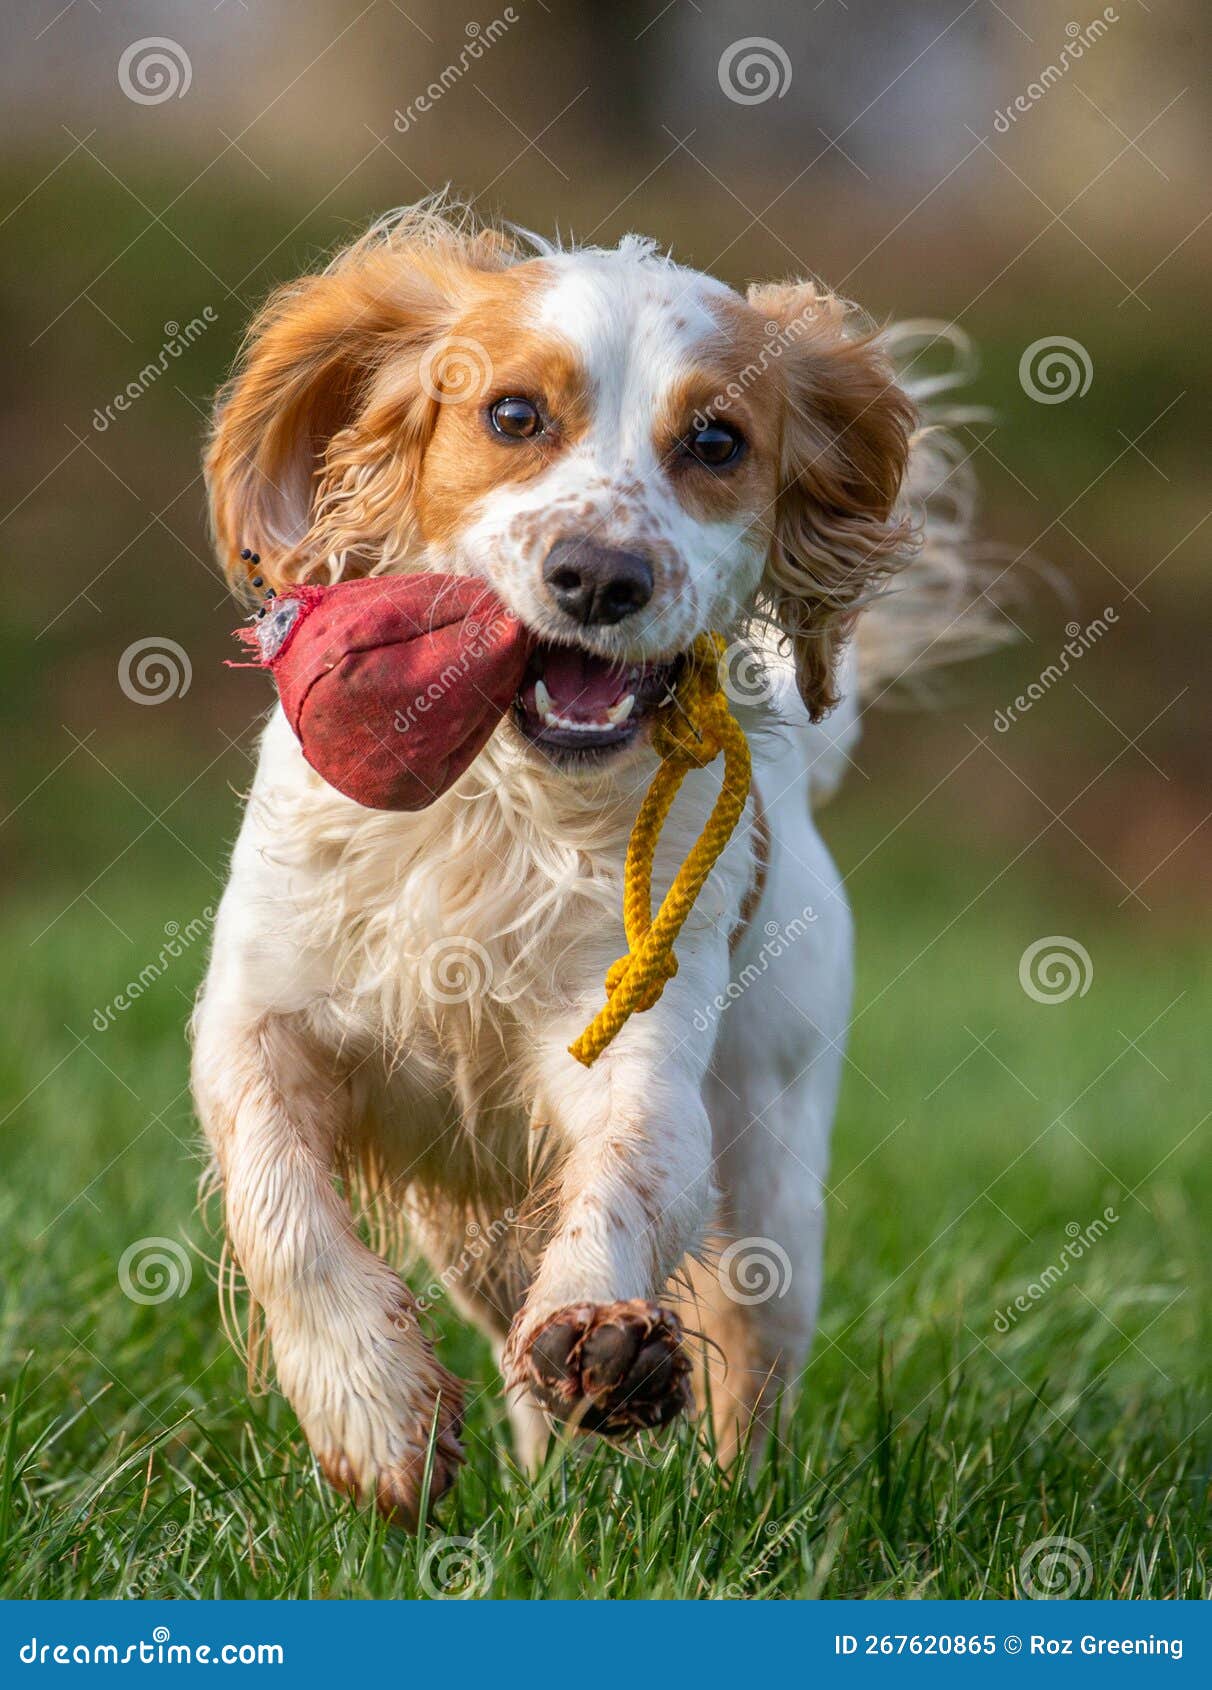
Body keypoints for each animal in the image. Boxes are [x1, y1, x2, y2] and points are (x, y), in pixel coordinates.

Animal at [192, 199, 990, 1524]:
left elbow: (626, 1174)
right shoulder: (262, 1016)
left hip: (772, 1175)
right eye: (514, 415)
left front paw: (597, 1336)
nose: (601, 576)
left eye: (716, 440)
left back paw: (717, 1501)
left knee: (749, 1364)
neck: (500, 817)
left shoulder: (634, 1045)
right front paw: (371, 1407)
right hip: (473, 1228)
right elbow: (282, 1207)